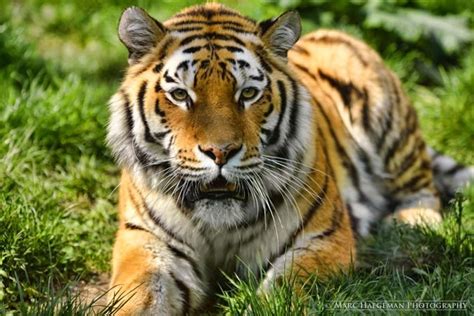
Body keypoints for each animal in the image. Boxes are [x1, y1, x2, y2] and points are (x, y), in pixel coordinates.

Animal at [105, 2, 472, 314]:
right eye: (181, 95)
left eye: (248, 93)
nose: (220, 152)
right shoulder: (146, 241)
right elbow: (142, 295)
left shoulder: (323, 239)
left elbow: (286, 286)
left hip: (392, 131)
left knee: (422, 188)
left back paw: (408, 225)